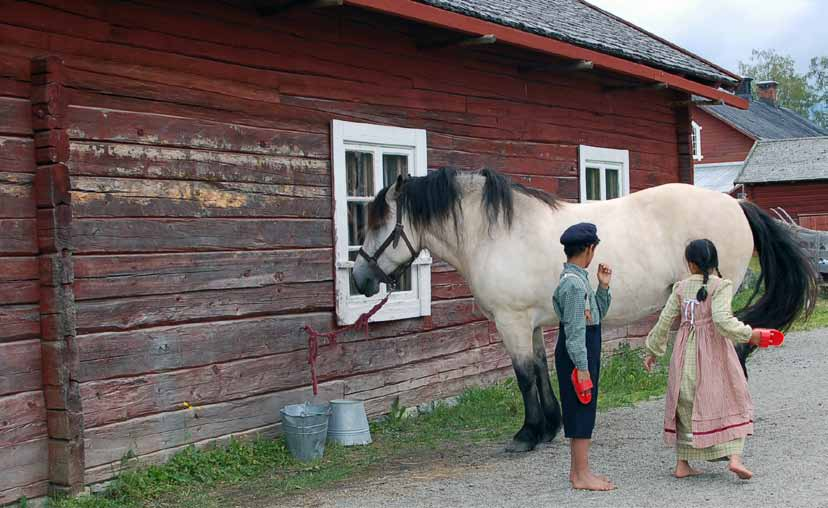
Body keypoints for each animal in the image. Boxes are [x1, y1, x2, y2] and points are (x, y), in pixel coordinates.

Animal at [350, 167, 816, 452]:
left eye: (378, 223)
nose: (360, 279)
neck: (495, 234)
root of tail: (735, 204)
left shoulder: (511, 321)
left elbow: (523, 377)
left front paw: (526, 434)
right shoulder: (530, 323)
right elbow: (540, 371)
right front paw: (548, 428)